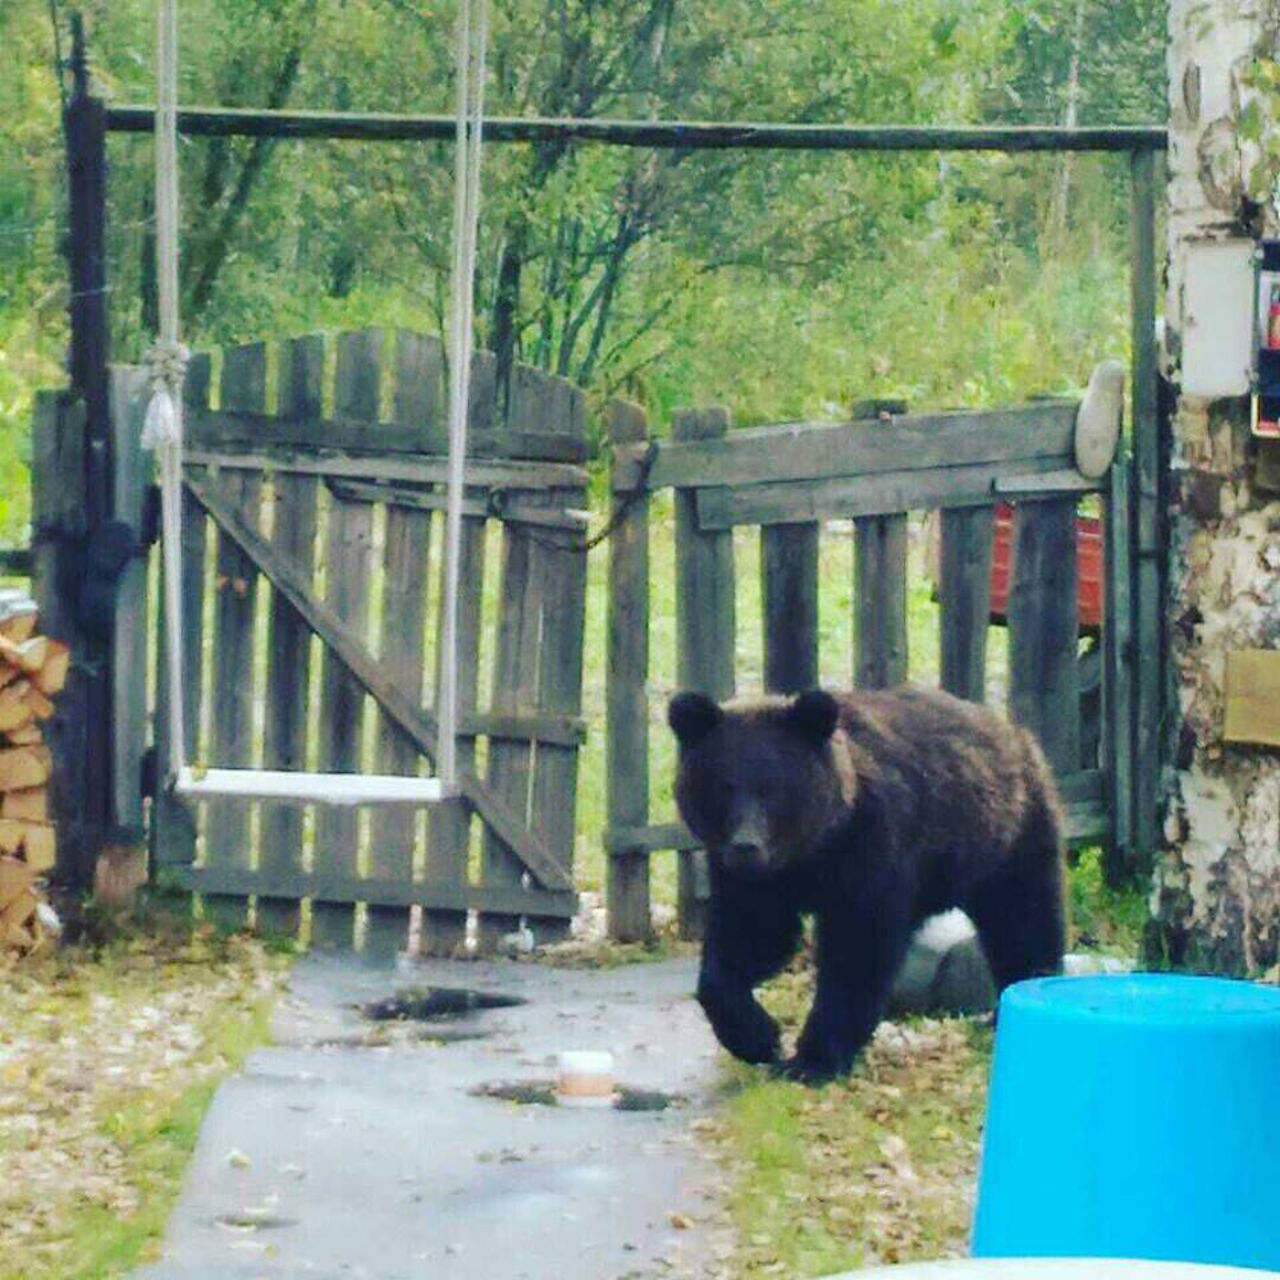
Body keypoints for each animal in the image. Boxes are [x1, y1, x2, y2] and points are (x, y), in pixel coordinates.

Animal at [670, 680, 1070, 1080]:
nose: (745, 846)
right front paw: (758, 1037)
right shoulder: (755, 881)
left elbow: (857, 946)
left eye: (772, 789)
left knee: (1023, 919)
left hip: (1008, 835)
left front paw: (810, 1060)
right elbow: (748, 938)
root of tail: (1010, 730)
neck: (812, 852)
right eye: (724, 786)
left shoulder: (872, 845)